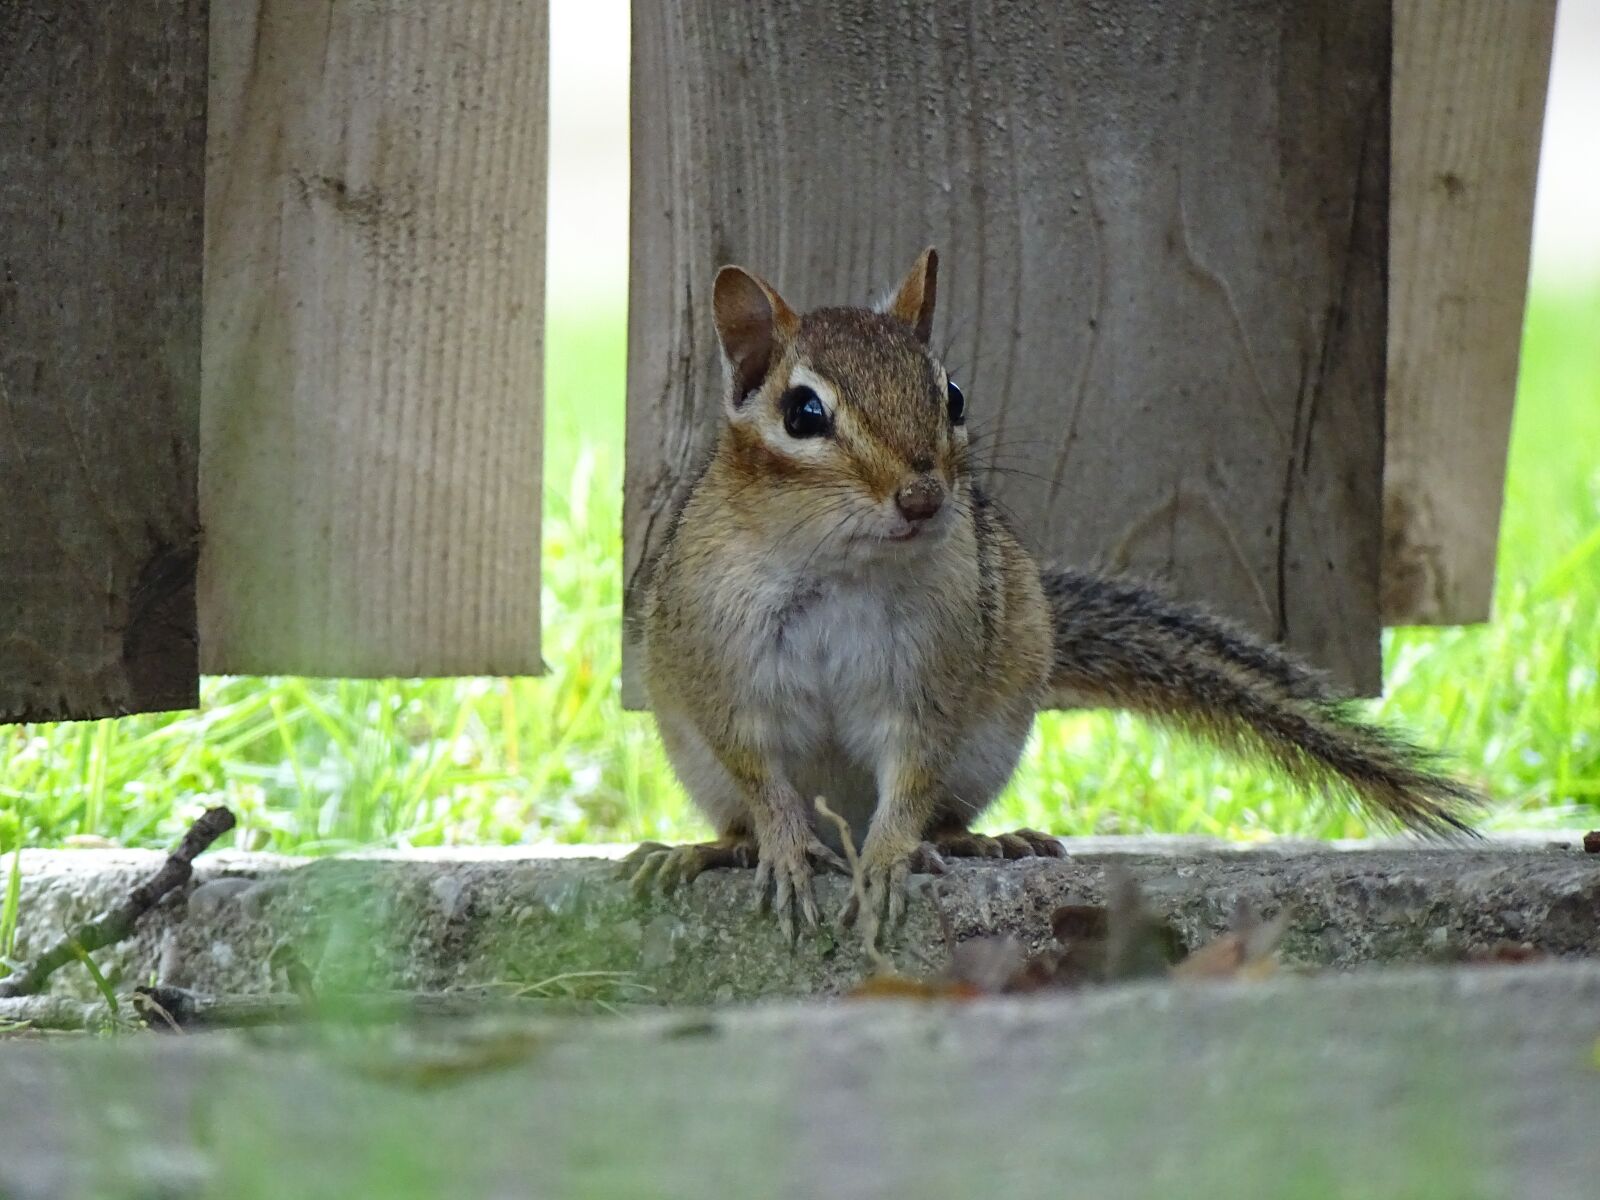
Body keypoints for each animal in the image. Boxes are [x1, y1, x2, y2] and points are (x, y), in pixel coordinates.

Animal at [625, 247, 1481, 945]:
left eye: (953, 394)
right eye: (803, 413)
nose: (923, 496)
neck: (844, 570)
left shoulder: (932, 675)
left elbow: (913, 774)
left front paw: (894, 857)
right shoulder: (725, 668)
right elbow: (759, 774)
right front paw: (782, 850)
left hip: (989, 743)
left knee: (945, 812)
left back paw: (980, 841)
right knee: (736, 816)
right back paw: (703, 852)